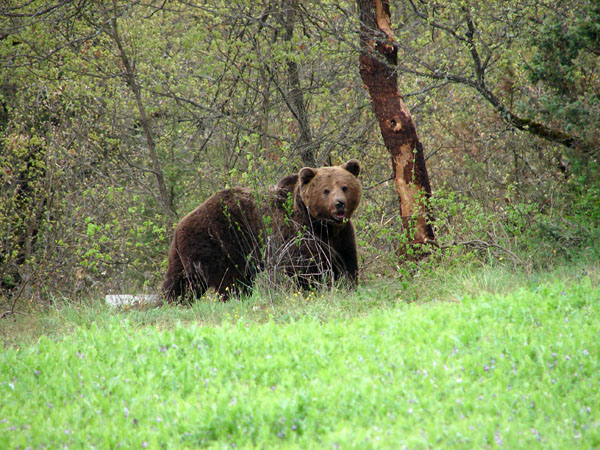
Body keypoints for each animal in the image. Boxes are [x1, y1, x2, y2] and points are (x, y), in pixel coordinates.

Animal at [162, 159, 360, 302]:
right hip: (219, 241)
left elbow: (346, 261)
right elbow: (304, 265)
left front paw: (348, 284)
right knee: (230, 280)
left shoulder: (341, 236)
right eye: (326, 190)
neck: (323, 225)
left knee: (180, 283)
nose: (339, 203)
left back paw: (171, 302)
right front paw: (315, 287)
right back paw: (237, 298)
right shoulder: (293, 233)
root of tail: (179, 226)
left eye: (345, 187)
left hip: (182, 256)